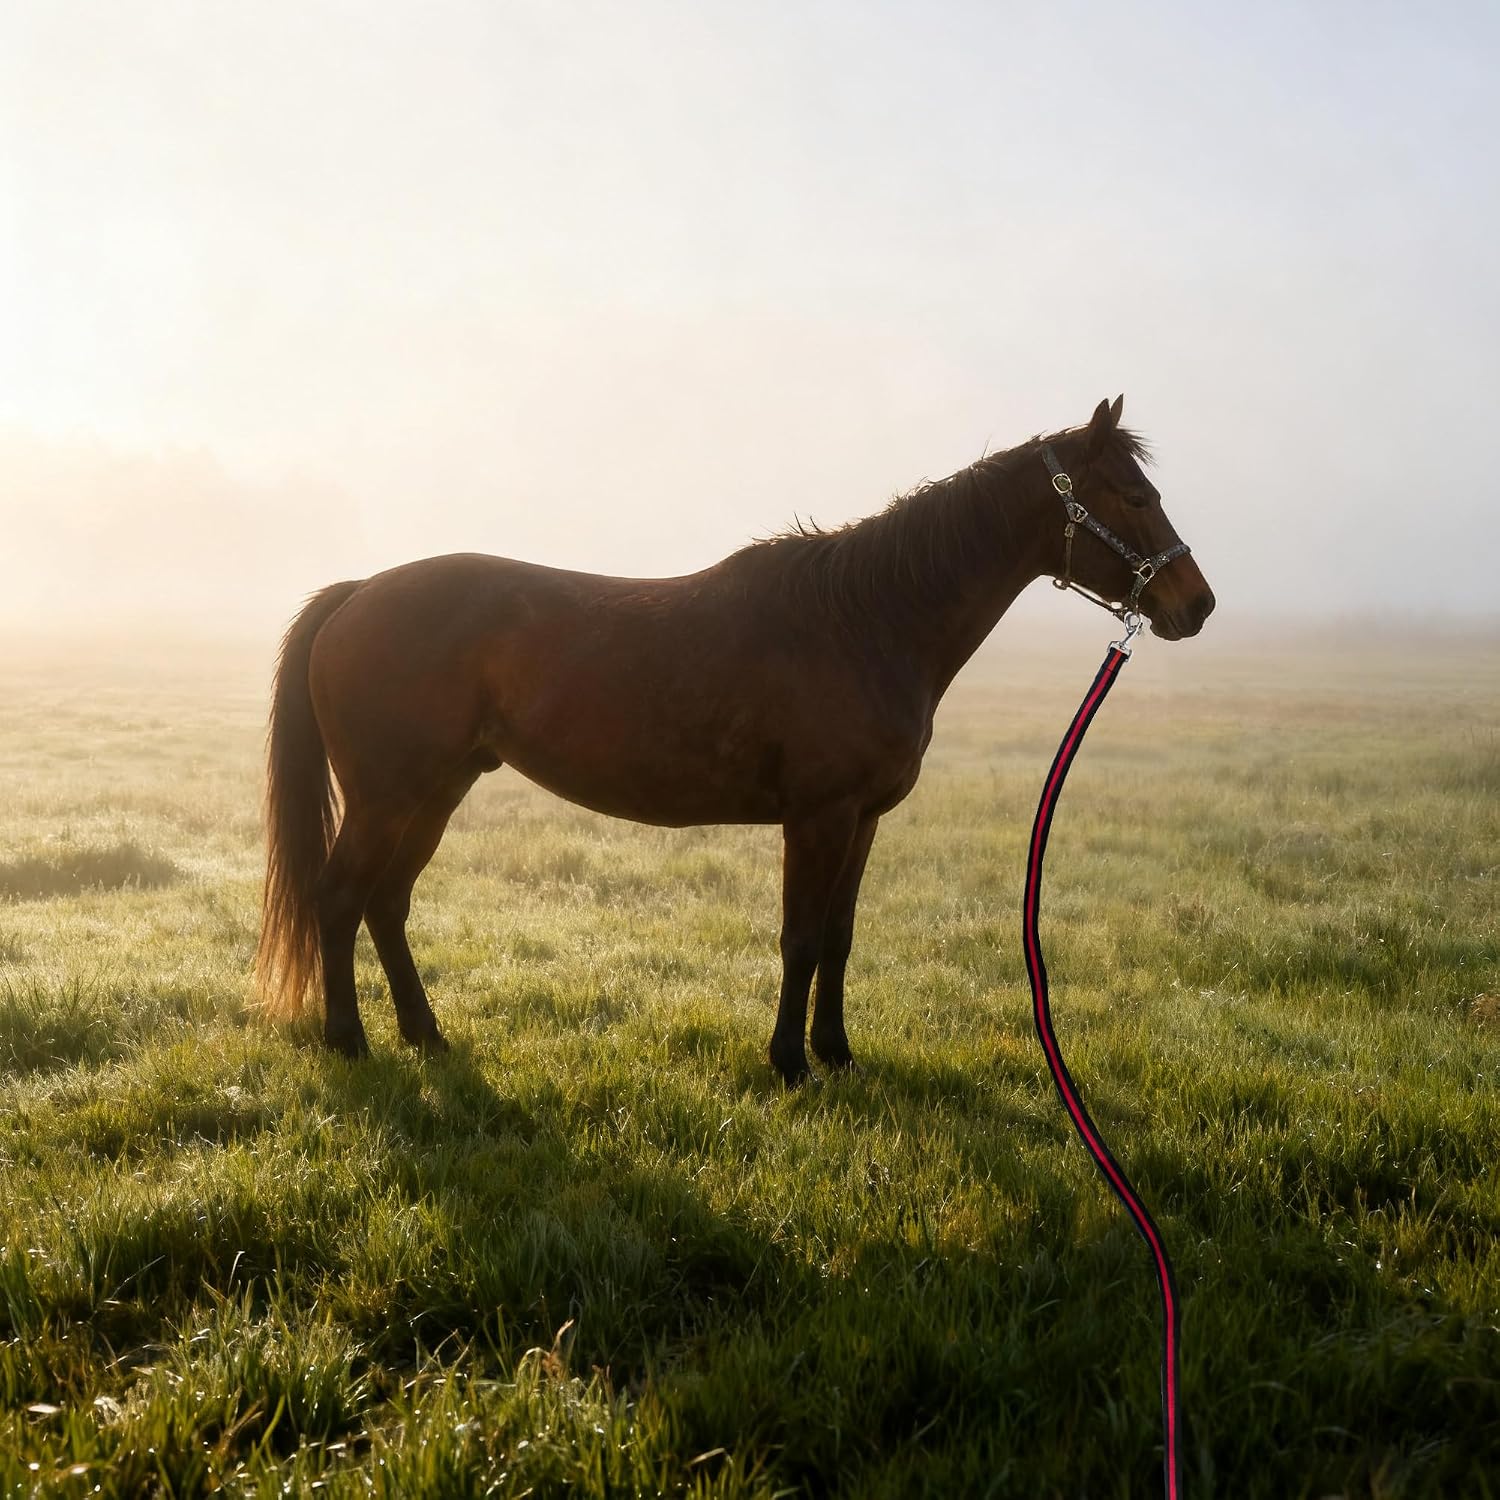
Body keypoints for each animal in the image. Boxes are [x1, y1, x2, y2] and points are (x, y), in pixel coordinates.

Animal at [255, 395, 1215, 1084]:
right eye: (1134, 496)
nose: (1196, 605)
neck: (866, 621)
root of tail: (359, 592)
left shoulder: (863, 820)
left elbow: (839, 938)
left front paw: (837, 1054)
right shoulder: (818, 817)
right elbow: (799, 939)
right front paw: (788, 1064)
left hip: (437, 790)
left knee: (386, 904)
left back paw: (428, 1037)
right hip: (388, 796)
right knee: (339, 900)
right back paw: (350, 1043)